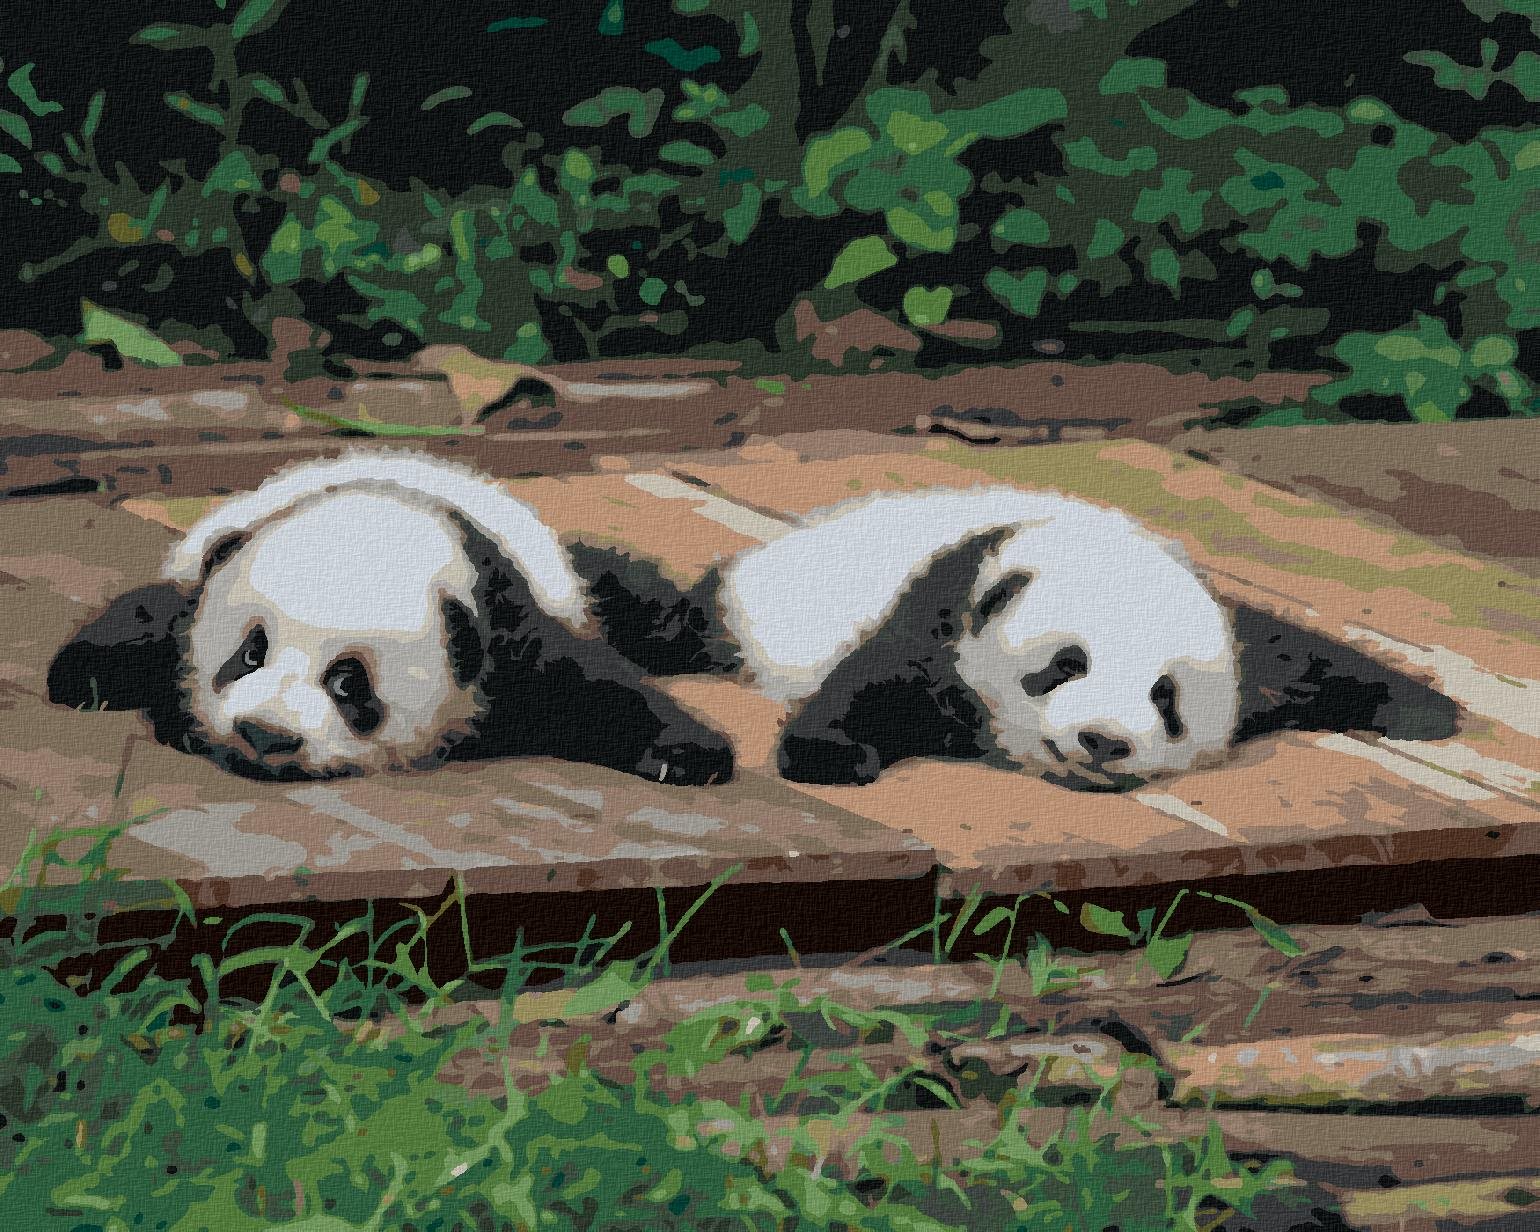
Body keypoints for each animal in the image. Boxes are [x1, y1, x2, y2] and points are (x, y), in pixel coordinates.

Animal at [46, 450, 733, 787]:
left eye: (349, 683)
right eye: (250, 652)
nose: (265, 736)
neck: (378, 526)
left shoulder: (504, 629)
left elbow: (592, 687)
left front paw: (686, 756)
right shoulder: (208, 570)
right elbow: (152, 615)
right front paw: (83, 679)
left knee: (637, 603)